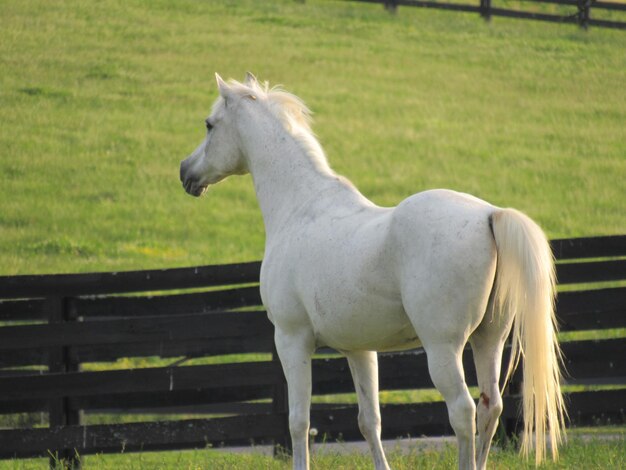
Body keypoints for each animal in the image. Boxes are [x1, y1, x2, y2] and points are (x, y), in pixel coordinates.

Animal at [178, 73, 564, 470]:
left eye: (209, 125)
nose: (185, 172)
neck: (301, 207)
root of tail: (489, 215)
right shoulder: (359, 350)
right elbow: (369, 421)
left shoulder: (291, 339)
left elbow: (298, 421)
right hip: (490, 341)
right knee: (490, 407)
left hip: (444, 348)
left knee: (463, 411)